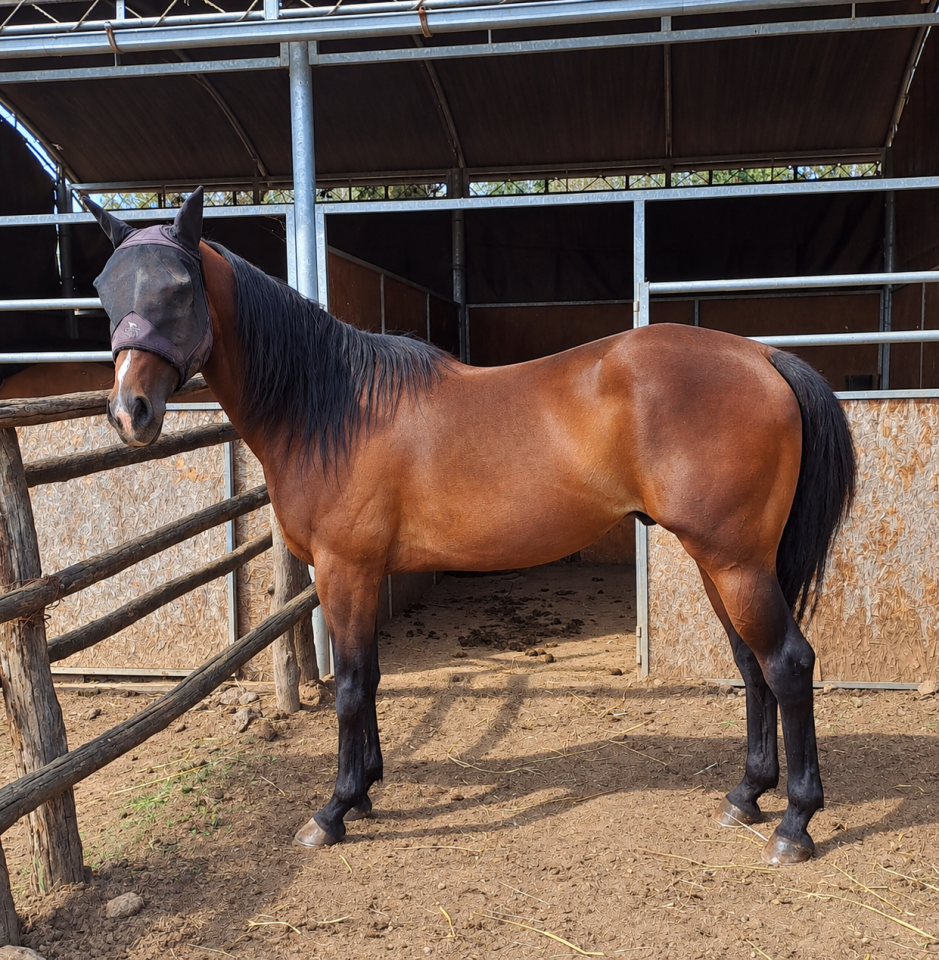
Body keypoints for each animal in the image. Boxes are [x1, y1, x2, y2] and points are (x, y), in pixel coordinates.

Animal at [86, 187, 855, 866]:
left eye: (179, 288)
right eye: (103, 288)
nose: (130, 413)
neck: (330, 408)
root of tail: (761, 356)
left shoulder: (344, 570)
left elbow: (351, 685)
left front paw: (334, 810)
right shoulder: (359, 576)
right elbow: (370, 678)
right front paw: (366, 791)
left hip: (735, 563)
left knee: (788, 665)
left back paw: (794, 824)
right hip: (723, 562)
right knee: (751, 666)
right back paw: (745, 796)